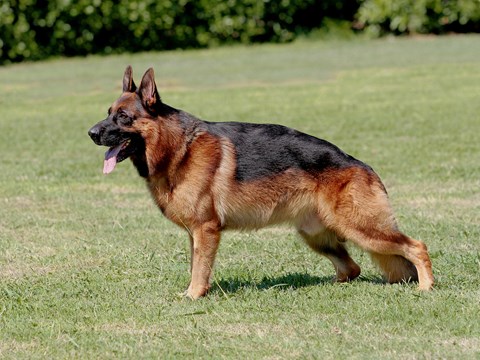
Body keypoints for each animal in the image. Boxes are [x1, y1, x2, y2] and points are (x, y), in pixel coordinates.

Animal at [87, 67, 436, 298]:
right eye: (108, 113)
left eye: (123, 118)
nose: (91, 132)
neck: (177, 149)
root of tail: (361, 165)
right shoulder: (195, 235)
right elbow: (196, 265)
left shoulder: (206, 230)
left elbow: (199, 270)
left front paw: (193, 297)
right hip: (317, 235)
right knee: (352, 269)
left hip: (361, 228)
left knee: (416, 246)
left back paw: (426, 286)